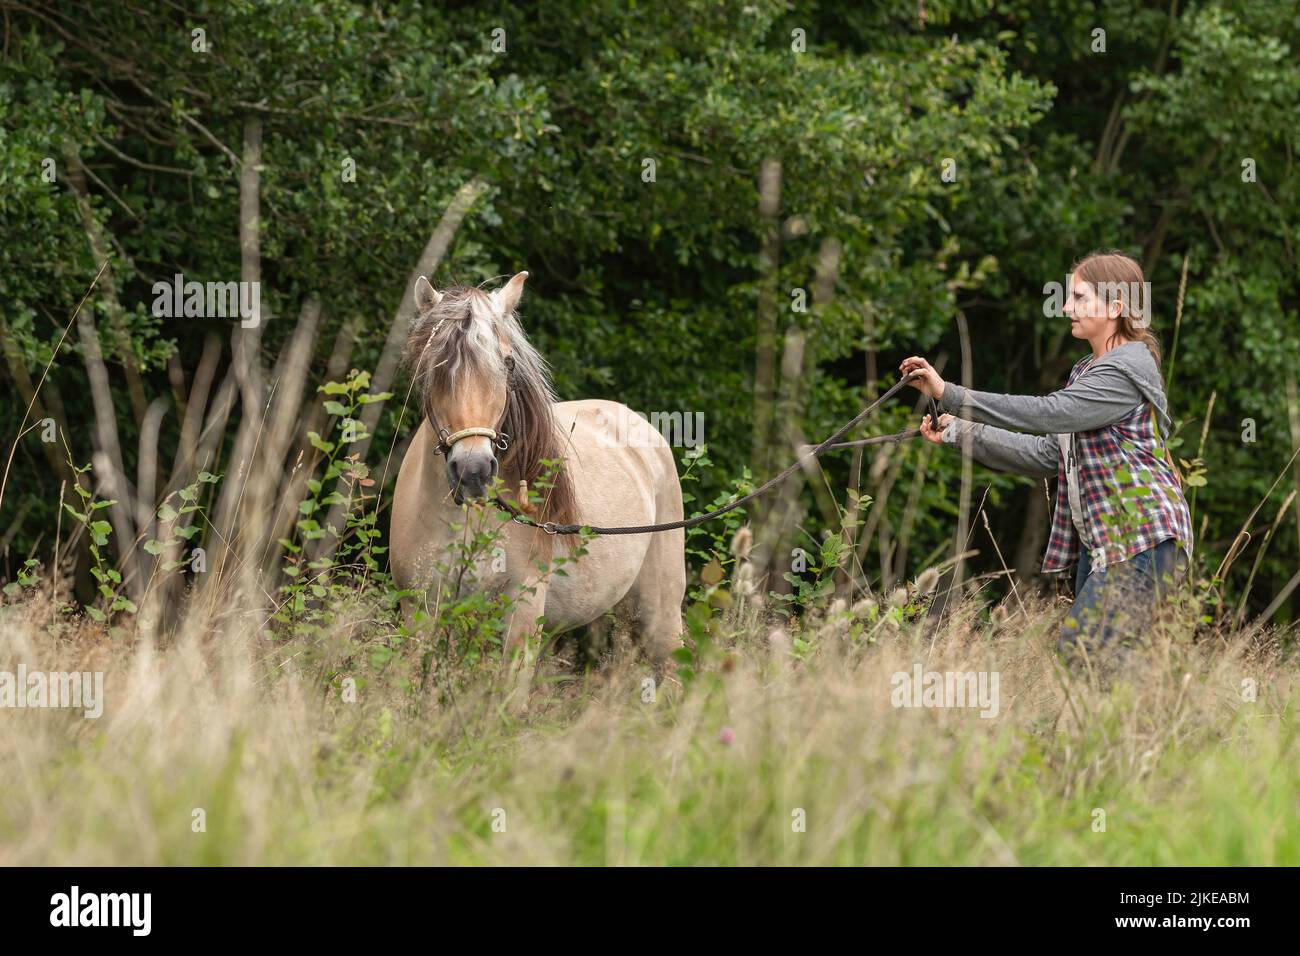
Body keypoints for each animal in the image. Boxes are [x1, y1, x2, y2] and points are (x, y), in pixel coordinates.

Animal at [387, 273, 686, 671]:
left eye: (508, 363)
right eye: (435, 363)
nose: (473, 471)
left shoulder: (522, 614)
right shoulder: (420, 611)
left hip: (661, 616)